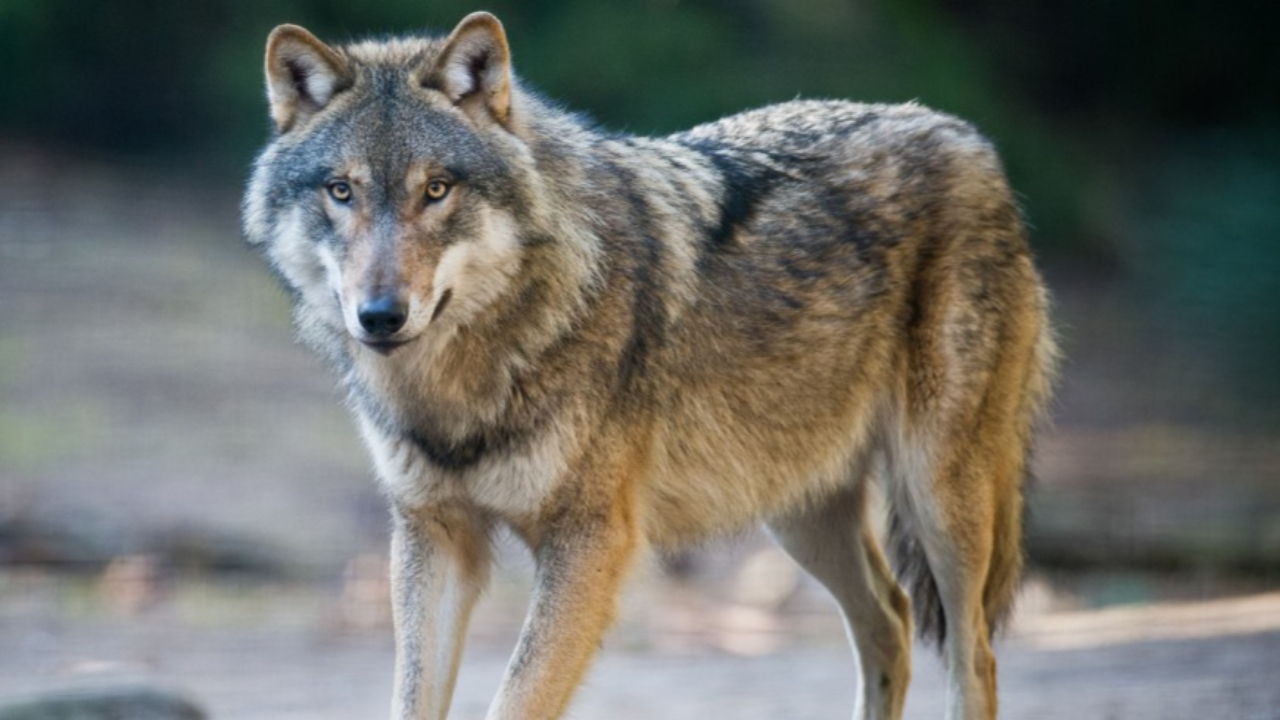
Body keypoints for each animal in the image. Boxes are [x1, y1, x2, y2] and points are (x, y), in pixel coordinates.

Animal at [243, 11, 1056, 720]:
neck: (465, 381)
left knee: (974, 655)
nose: (379, 316)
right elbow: (414, 698)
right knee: (889, 620)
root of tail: (965, 134)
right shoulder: (433, 535)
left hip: (940, 501)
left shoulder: (590, 544)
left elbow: (516, 700)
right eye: (341, 191)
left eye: (435, 190)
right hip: (798, 509)